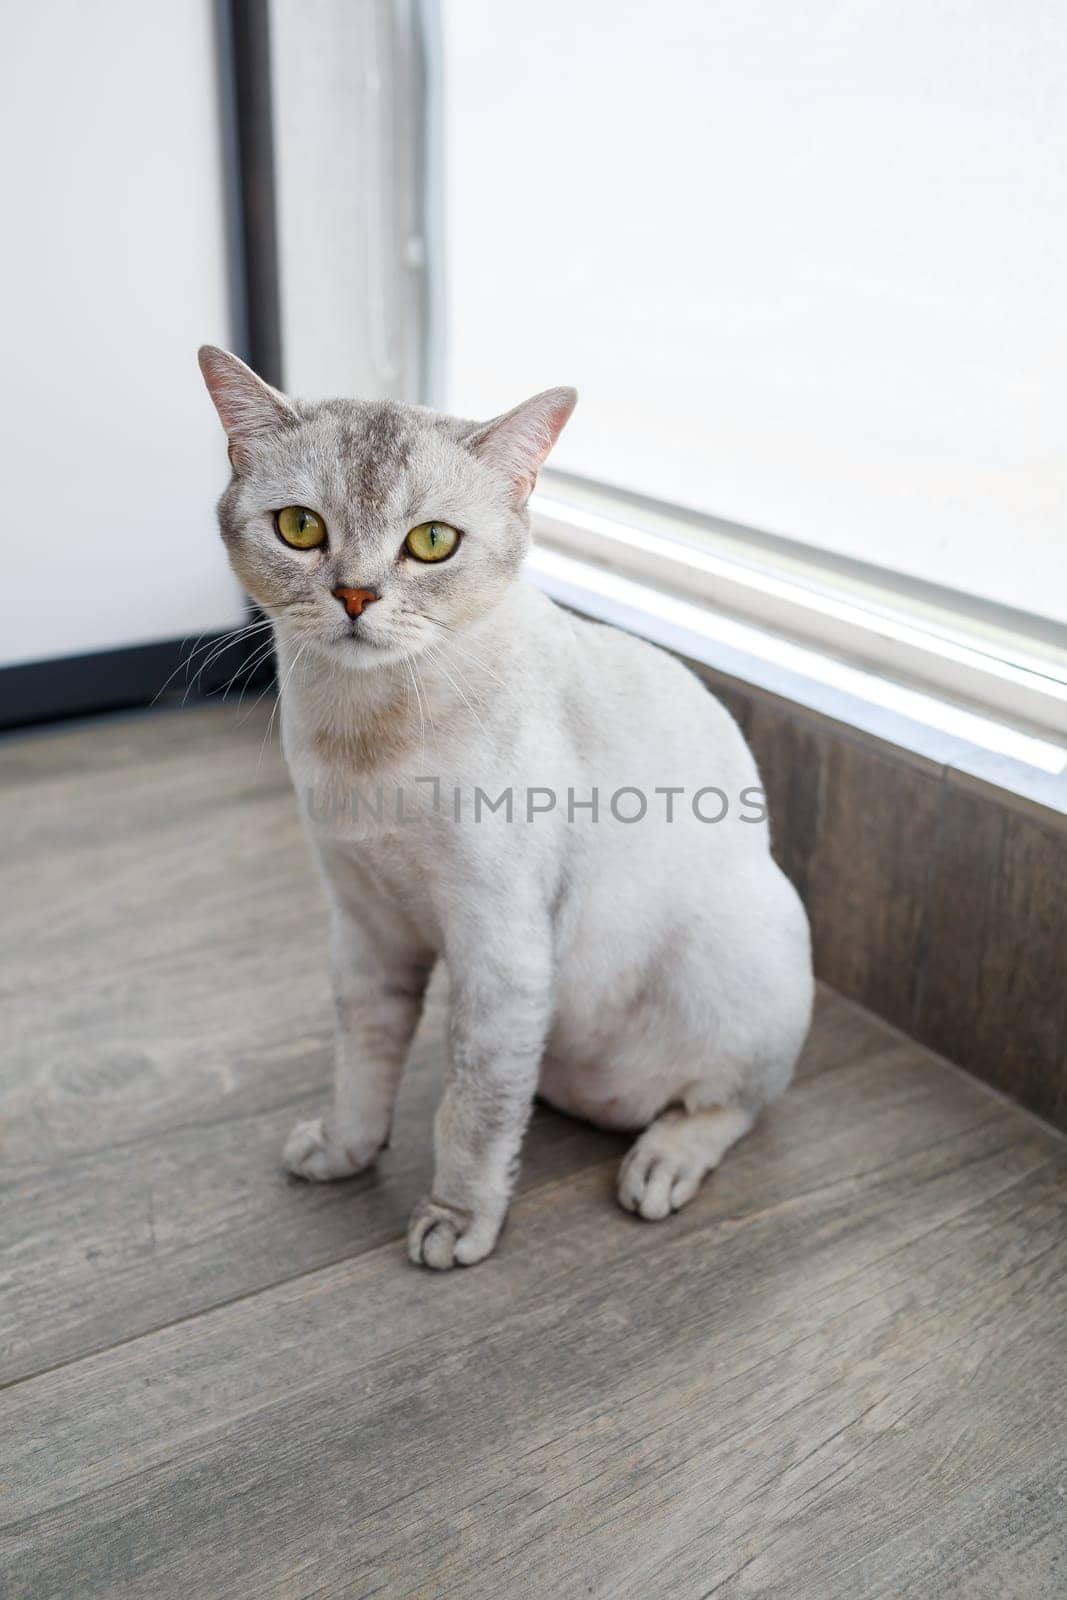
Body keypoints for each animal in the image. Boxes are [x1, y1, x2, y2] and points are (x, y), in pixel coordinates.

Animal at [198, 344, 809, 1267]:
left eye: (431, 543)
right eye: (301, 528)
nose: (354, 597)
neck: (365, 738)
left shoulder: (497, 950)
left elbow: (472, 1110)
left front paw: (456, 1223)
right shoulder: (366, 928)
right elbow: (364, 1067)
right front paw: (344, 1151)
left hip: (739, 959)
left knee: (725, 1101)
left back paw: (657, 1165)